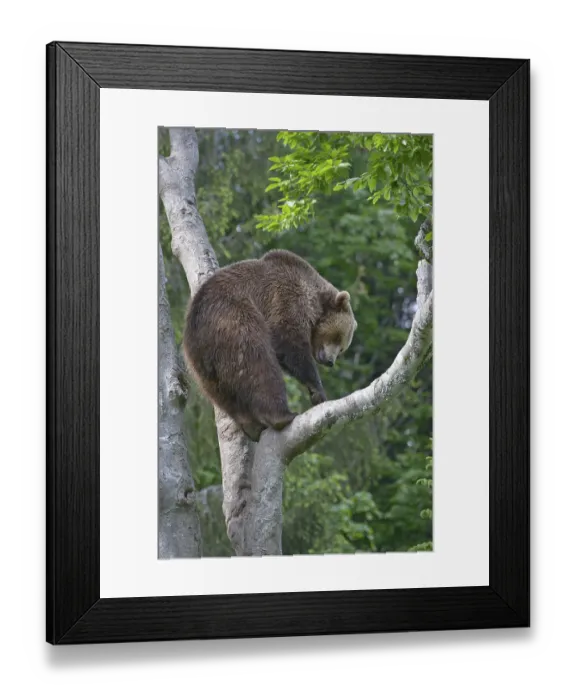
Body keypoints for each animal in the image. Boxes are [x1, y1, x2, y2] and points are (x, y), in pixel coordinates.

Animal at [182, 249, 357, 442]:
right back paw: (282, 416)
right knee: (259, 365)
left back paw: (250, 425)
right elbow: (289, 344)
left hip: (201, 364)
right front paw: (318, 390)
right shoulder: (285, 298)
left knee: (222, 392)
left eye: (342, 348)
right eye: (337, 337)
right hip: (233, 319)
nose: (330, 361)